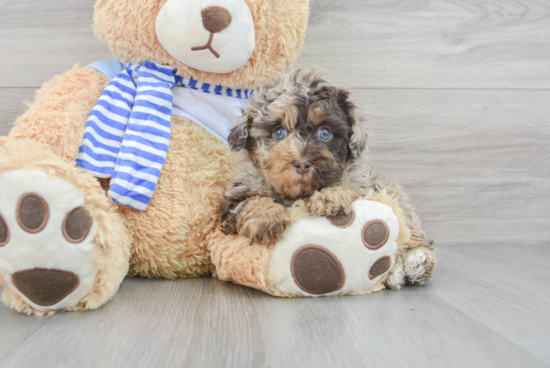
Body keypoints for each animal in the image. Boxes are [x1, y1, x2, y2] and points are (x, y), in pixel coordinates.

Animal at [220, 68, 436, 288]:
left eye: (325, 133)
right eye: (278, 132)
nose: (302, 163)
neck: (298, 193)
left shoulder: (366, 185)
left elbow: (348, 186)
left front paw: (328, 197)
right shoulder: (233, 201)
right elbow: (250, 201)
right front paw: (267, 218)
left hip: (395, 194)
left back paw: (414, 262)